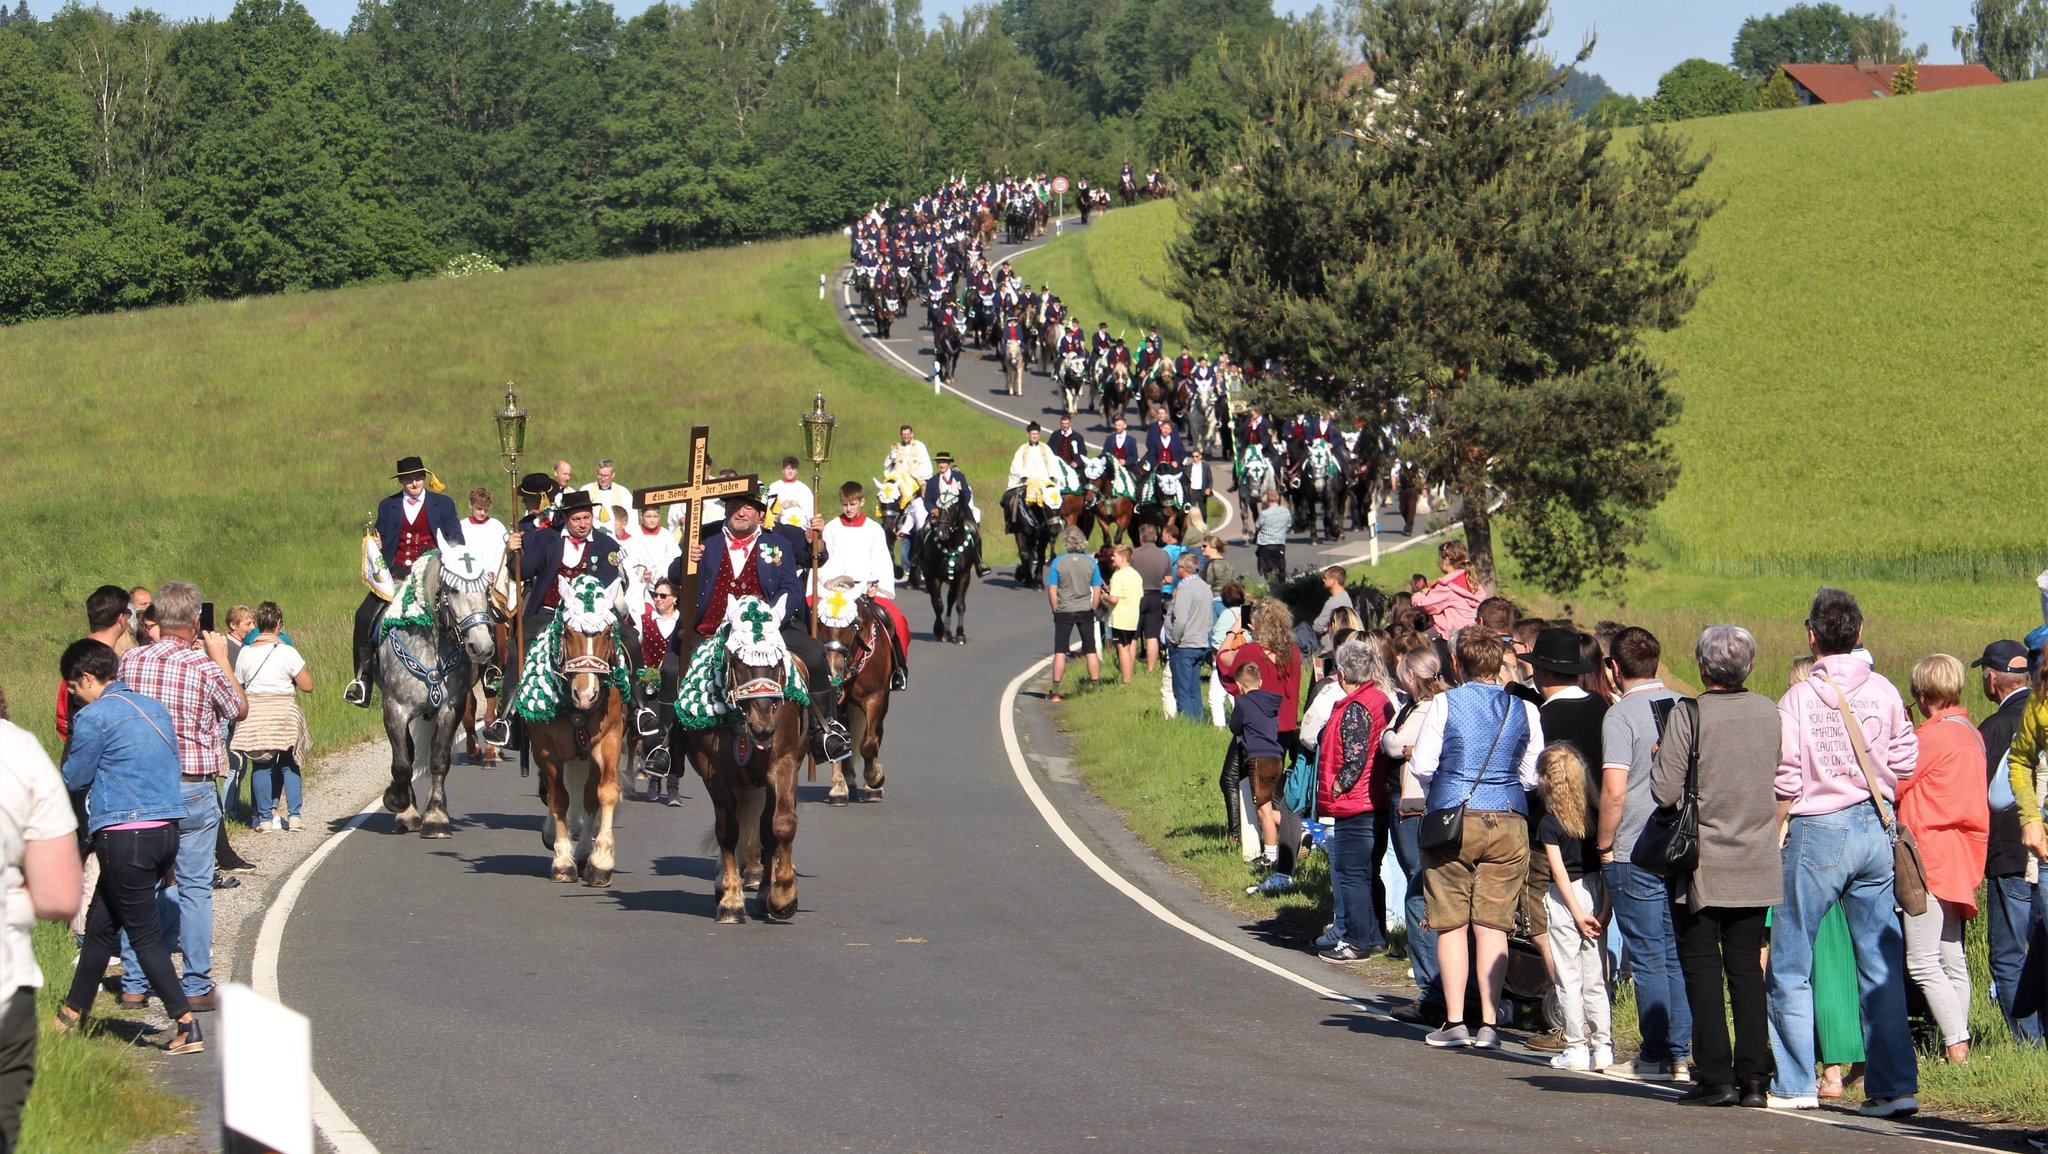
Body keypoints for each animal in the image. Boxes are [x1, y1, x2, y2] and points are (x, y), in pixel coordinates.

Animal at [528, 614, 622, 885]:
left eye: (607, 633)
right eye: (569, 633)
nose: (586, 694)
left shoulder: (609, 738)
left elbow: (606, 793)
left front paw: (600, 862)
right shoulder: (546, 750)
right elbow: (558, 799)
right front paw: (562, 862)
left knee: (589, 796)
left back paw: (583, 852)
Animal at [811, 594, 892, 803]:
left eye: (852, 624)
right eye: (820, 624)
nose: (833, 668)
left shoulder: (875, 698)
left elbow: (869, 743)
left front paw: (874, 778)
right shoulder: (837, 704)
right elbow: (838, 738)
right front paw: (839, 787)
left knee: (876, 734)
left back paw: (871, 787)